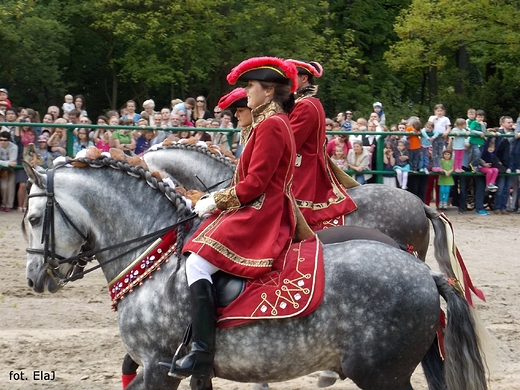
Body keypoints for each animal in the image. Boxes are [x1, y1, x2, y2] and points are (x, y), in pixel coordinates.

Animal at [23, 156, 488, 390]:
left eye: (32, 218)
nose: (34, 278)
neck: (155, 258)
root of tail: (425, 276)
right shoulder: (186, 372)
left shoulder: (159, 366)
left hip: (382, 375)